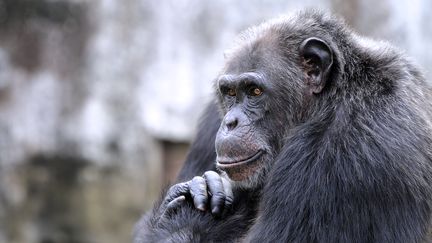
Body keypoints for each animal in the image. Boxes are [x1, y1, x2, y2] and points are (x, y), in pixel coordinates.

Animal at [133, 9, 432, 243]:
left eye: (254, 91)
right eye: (230, 92)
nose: (230, 122)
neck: (330, 99)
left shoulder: (344, 151)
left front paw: (194, 208)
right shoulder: (210, 121)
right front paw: (191, 193)